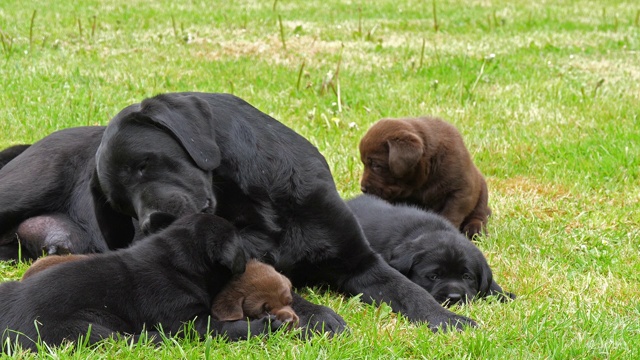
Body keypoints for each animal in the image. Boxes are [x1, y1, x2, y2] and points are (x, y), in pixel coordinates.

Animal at [0, 214, 282, 352]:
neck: (178, 259)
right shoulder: (189, 320)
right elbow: (223, 328)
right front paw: (264, 325)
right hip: (83, 328)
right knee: (119, 340)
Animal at [90, 92, 476, 332]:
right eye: (122, 204)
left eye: (144, 164)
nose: (151, 226)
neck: (262, 209)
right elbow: (282, 290)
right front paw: (320, 316)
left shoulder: (361, 262)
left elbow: (408, 290)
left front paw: (447, 318)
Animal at [360, 116, 490, 238]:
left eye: (376, 165)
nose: (363, 189)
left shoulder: (461, 190)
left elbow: (452, 213)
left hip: (482, 189)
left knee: (480, 214)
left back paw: (476, 229)